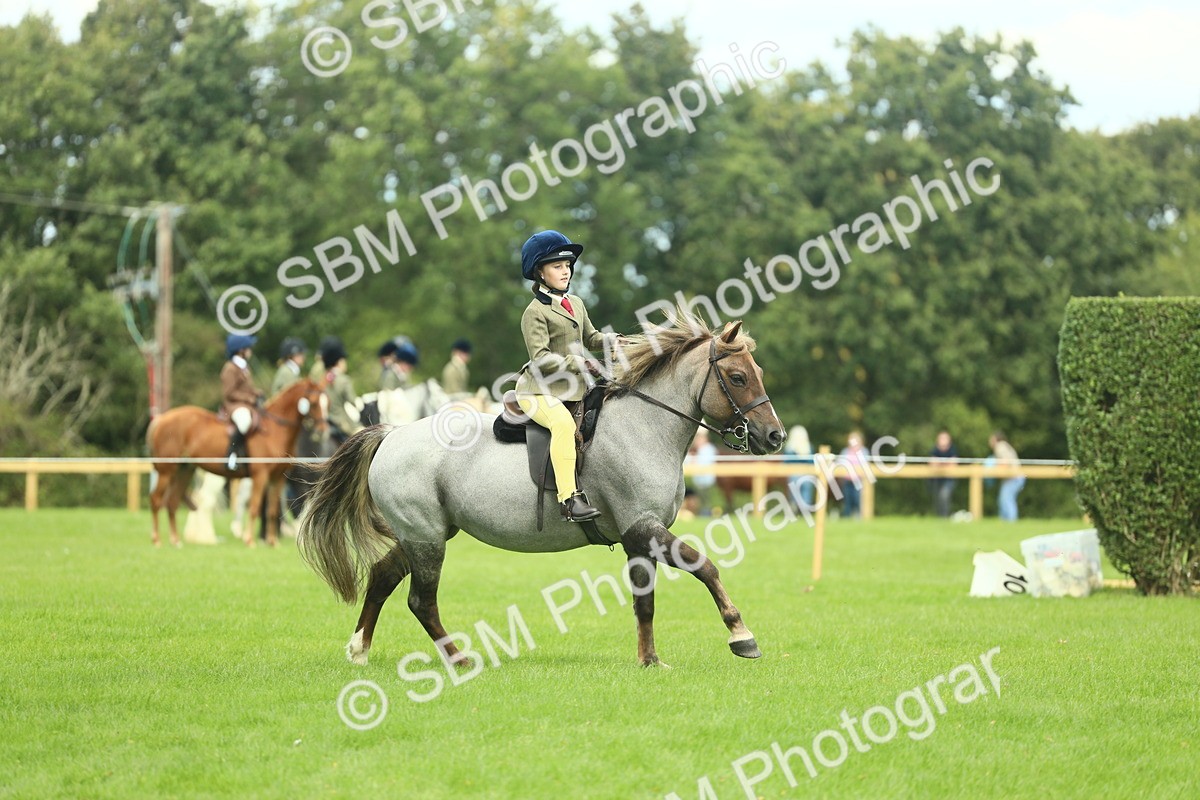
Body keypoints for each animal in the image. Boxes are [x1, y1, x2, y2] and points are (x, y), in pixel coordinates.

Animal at [147, 378, 327, 548]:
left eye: (327, 402)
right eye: (313, 402)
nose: (322, 431)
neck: (275, 430)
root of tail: (161, 419)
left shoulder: (277, 478)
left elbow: (272, 511)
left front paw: (272, 543)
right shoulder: (260, 476)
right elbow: (254, 508)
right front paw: (250, 541)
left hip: (184, 471)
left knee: (172, 503)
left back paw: (176, 541)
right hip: (166, 471)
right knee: (156, 500)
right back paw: (156, 540)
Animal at [297, 316, 786, 668]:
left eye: (758, 372)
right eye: (738, 377)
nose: (775, 437)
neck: (645, 427)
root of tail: (392, 434)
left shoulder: (639, 537)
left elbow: (644, 603)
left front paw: (650, 660)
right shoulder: (642, 527)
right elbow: (706, 567)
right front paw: (741, 636)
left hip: (423, 534)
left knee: (382, 577)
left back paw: (359, 651)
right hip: (426, 539)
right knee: (422, 601)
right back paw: (459, 659)